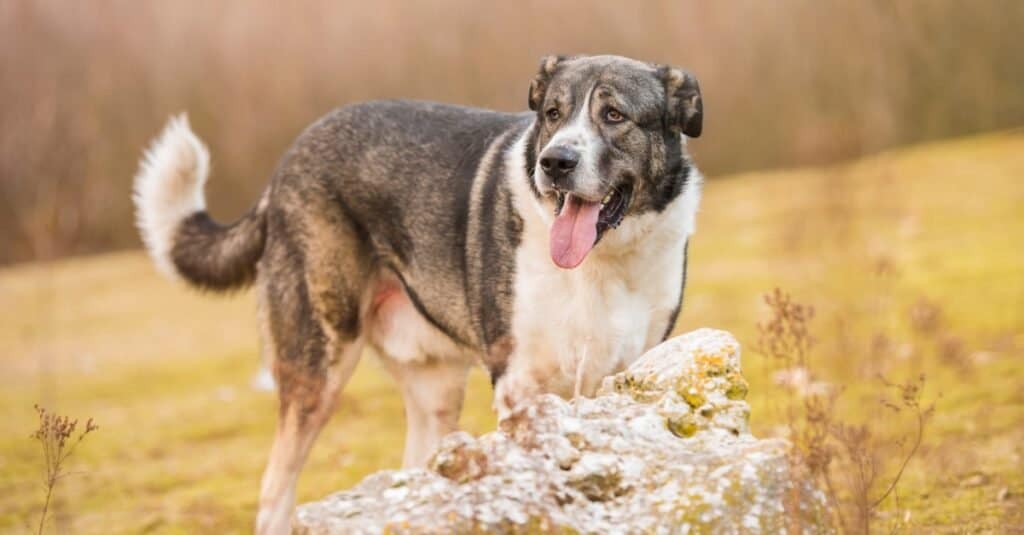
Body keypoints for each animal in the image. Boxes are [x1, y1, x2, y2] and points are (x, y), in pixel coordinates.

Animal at [132, 53, 704, 528]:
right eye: (553, 114)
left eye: (614, 115)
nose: (555, 163)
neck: (600, 262)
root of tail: (286, 163)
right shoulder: (520, 386)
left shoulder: (628, 374)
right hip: (319, 363)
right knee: (276, 485)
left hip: (435, 392)